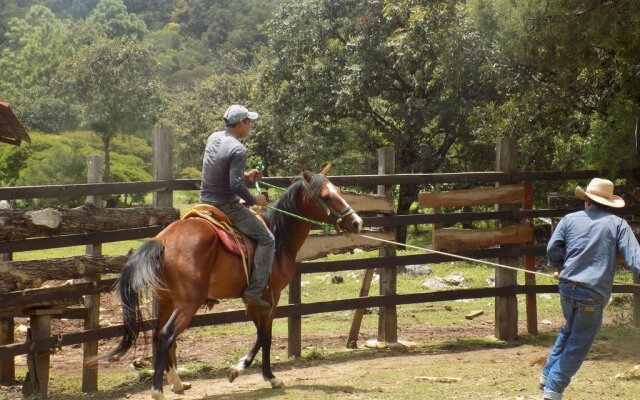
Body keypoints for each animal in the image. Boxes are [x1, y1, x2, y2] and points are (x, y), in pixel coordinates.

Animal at [99, 167, 360, 398]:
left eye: (338, 190)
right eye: (326, 196)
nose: (357, 222)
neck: (279, 238)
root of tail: (162, 241)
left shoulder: (251, 301)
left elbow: (260, 334)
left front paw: (240, 369)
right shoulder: (270, 297)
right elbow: (265, 336)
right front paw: (264, 375)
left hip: (166, 300)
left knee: (159, 336)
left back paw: (177, 383)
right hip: (188, 303)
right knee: (166, 335)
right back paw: (158, 391)